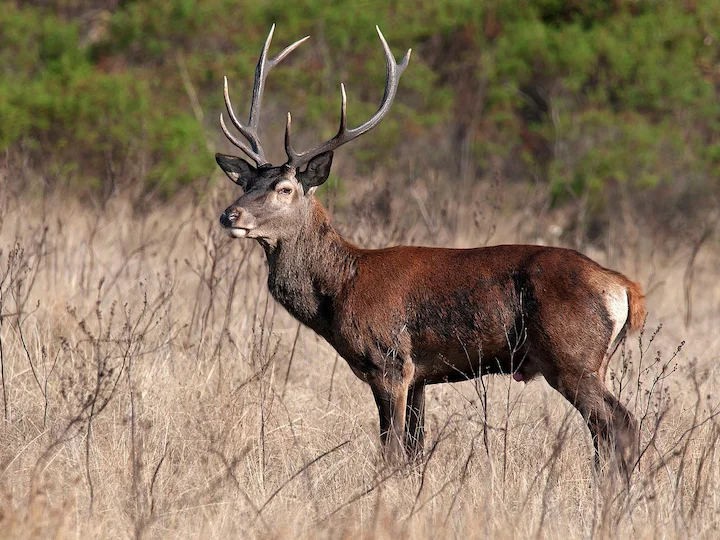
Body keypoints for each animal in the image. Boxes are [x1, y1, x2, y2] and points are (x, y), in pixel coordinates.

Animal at [215, 25, 645, 473]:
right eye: (245, 183)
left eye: (284, 188)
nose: (230, 215)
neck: (340, 289)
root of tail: (624, 288)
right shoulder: (420, 375)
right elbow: (414, 449)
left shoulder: (389, 361)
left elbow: (390, 449)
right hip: (591, 362)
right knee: (607, 431)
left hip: (571, 356)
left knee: (620, 423)